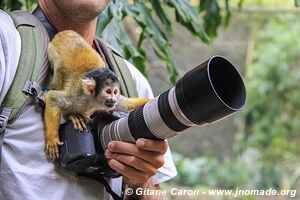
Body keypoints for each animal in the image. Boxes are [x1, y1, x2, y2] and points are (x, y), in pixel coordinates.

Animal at [44, 30, 150, 160]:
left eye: (115, 92)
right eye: (108, 91)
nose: (113, 100)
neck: (93, 101)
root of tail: (66, 32)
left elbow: (128, 104)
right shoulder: (78, 97)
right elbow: (52, 98)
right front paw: (52, 140)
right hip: (51, 51)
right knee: (59, 67)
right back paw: (73, 115)